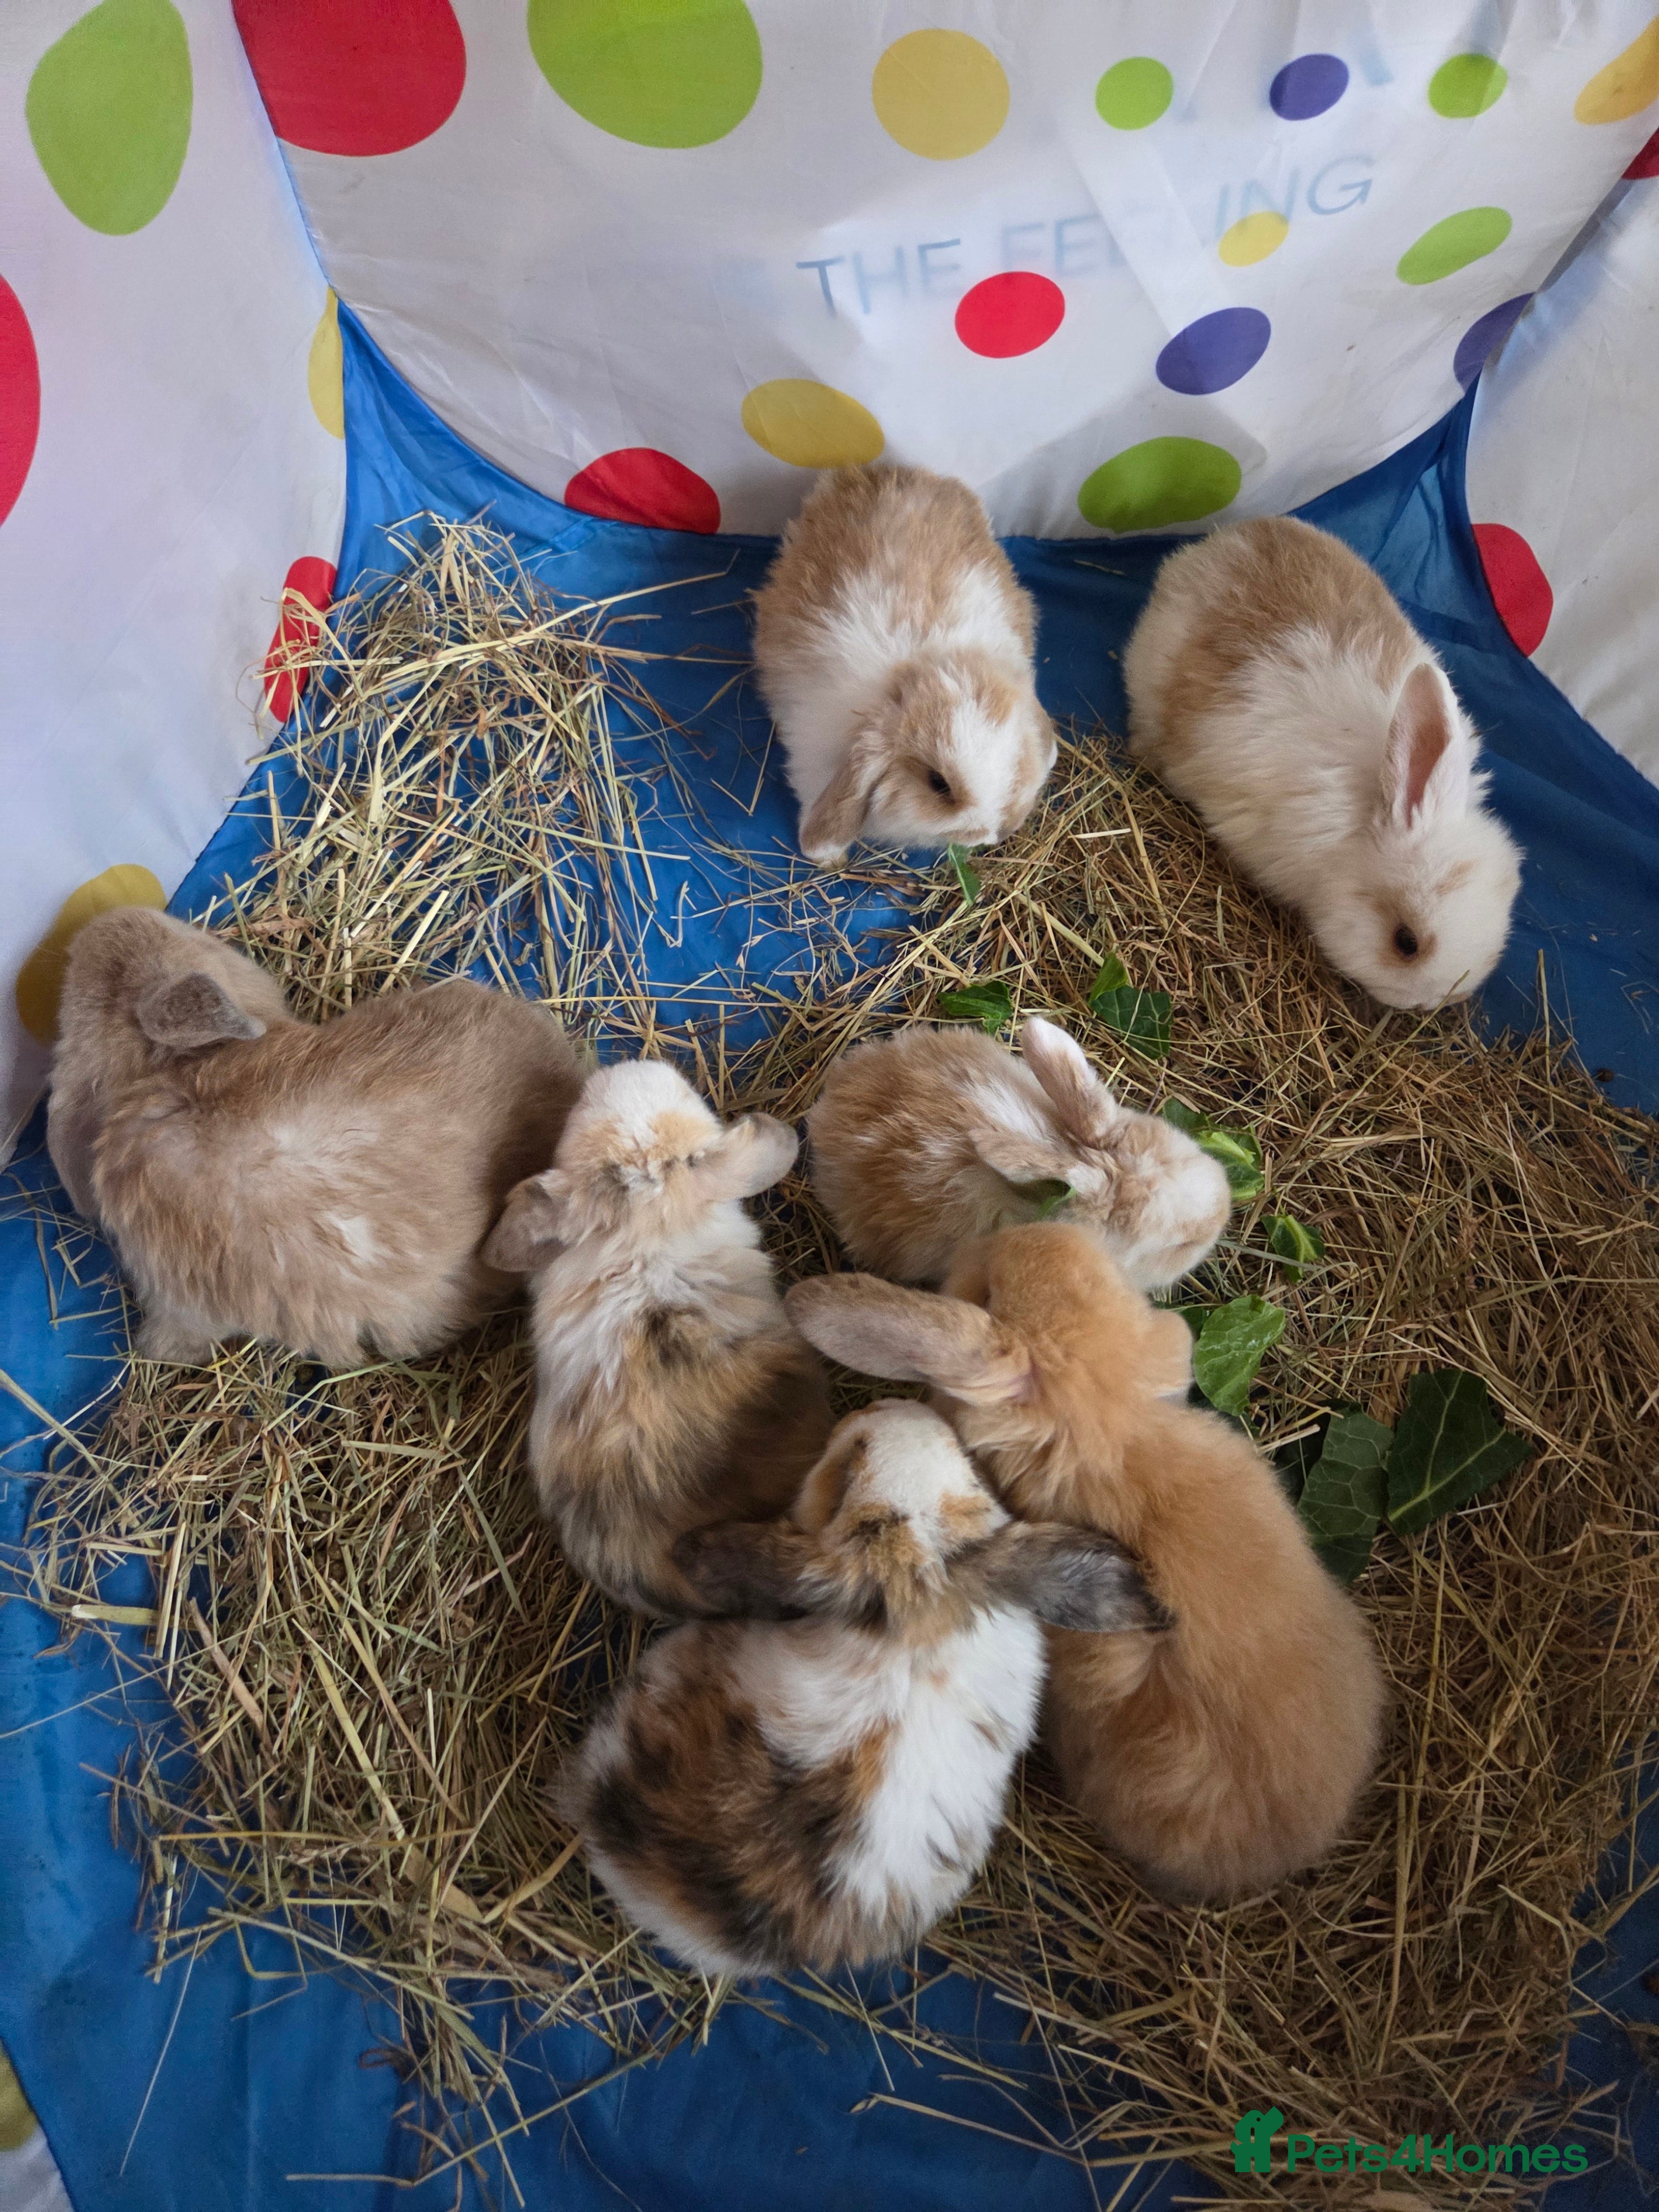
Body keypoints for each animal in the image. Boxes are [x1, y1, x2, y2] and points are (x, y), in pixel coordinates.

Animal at [751, 463, 1057, 866]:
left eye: (1018, 763)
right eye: (938, 783)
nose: (987, 835)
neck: (924, 665)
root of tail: (890, 470)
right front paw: (828, 858)